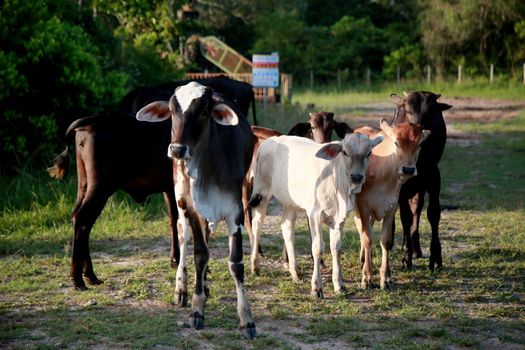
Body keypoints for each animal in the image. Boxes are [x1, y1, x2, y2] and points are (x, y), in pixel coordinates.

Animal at [136, 81, 256, 340]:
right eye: (172, 111)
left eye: (203, 112)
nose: (177, 149)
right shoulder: (191, 207)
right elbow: (199, 254)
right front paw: (197, 309)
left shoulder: (235, 212)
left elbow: (236, 262)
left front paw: (246, 318)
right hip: (181, 201)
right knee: (183, 237)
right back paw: (181, 288)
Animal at [388, 90, 450, 270]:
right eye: (408, 111)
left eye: (431, 113)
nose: (415, 129)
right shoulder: (401, 185)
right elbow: (405, 217)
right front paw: (406, 256)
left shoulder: (434, 178)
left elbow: (433, 213)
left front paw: (435, 256)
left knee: (417, 207)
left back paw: (416, 248)